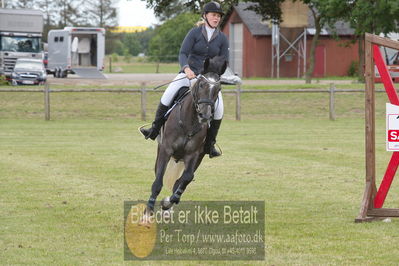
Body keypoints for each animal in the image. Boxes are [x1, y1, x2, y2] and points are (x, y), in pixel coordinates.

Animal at [142, 56, 227, 220]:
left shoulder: (194, 154)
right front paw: (147, 213)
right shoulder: (166, 150)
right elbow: (158, 182)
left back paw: (168, 207)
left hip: (198, 157)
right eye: (201, 85)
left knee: (181, 180)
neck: (189, 122)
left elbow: (186, 178)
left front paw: (168, 202)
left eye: (218, 89)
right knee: (159, 175)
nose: (205, 115)